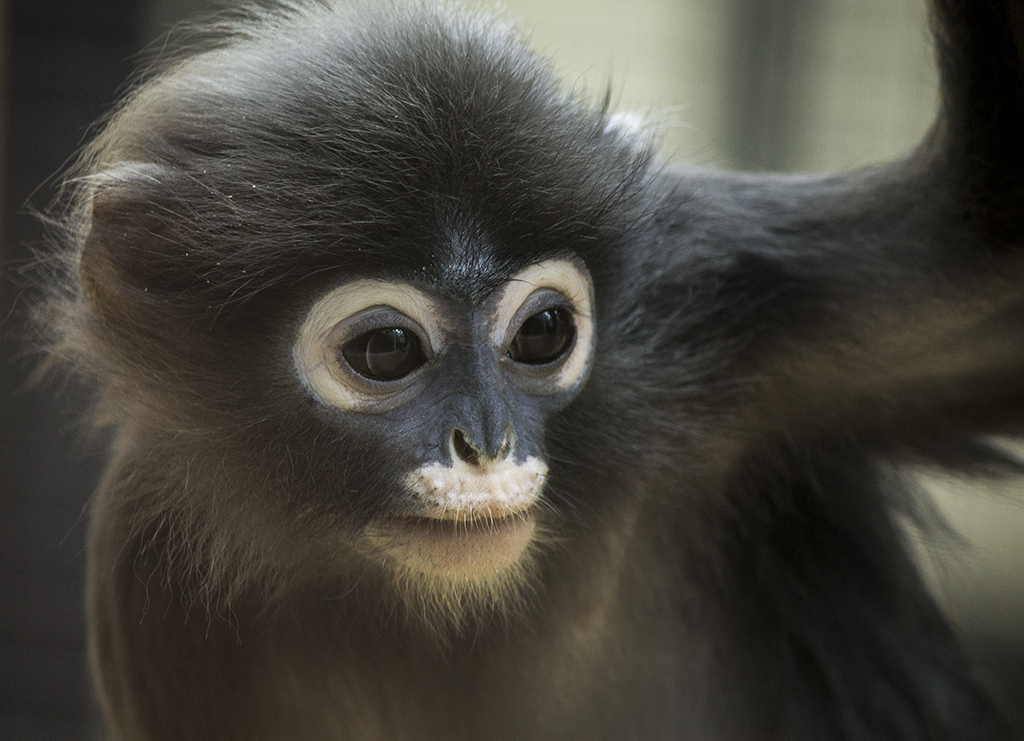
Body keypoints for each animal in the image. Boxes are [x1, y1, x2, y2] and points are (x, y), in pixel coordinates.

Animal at [35, 0, 1024, 738]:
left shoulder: (726, 302)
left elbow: (993, 291)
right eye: (385, 351)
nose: (484, 440)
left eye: (544, 331)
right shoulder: (153, 566)